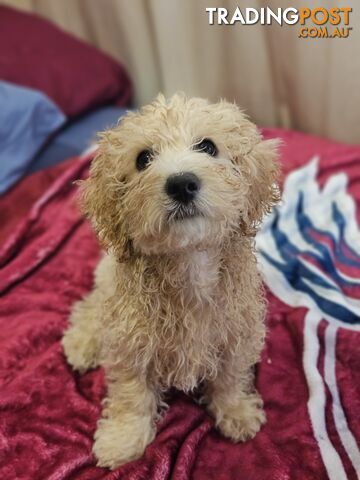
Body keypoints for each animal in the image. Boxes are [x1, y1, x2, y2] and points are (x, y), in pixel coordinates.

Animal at [63, 93, 280, 468]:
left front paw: (236, 411)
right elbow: (131, 394)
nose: (181, 183)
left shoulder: (237, 333)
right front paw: (122, 439)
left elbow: (230, 376)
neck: (188, 262)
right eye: (143, 159)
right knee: (92, 305)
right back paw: (82, 342)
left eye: (208, 146)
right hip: (107, 286)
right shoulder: (130, 342)